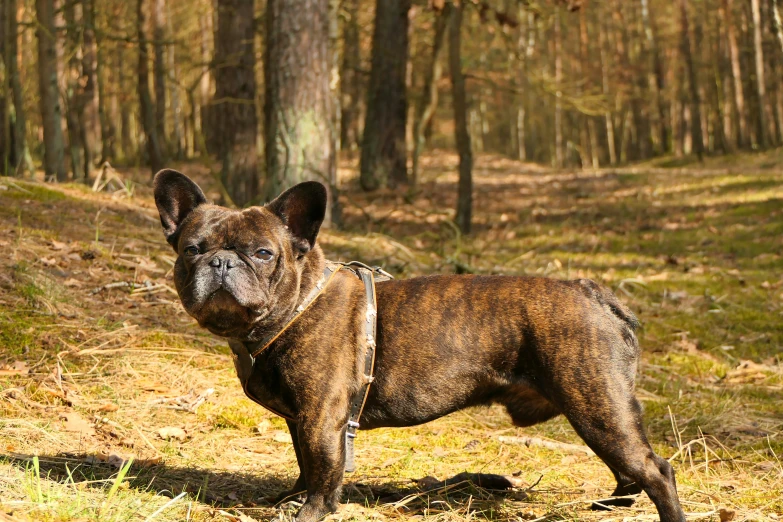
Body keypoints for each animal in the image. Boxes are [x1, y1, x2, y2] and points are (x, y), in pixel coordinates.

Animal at [153, 168, 688, 520]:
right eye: (192, 249)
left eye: (263, 253)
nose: (221, 262)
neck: (297, 303)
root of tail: (592, 293)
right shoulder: (302, 418)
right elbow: (305, 462)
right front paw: (289, 499)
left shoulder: (322, 416)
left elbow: (324, 469)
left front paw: (311, 512)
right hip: (597, 408)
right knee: (629, 469)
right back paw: (611, 504)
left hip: (595, 403)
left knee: (655, 470)